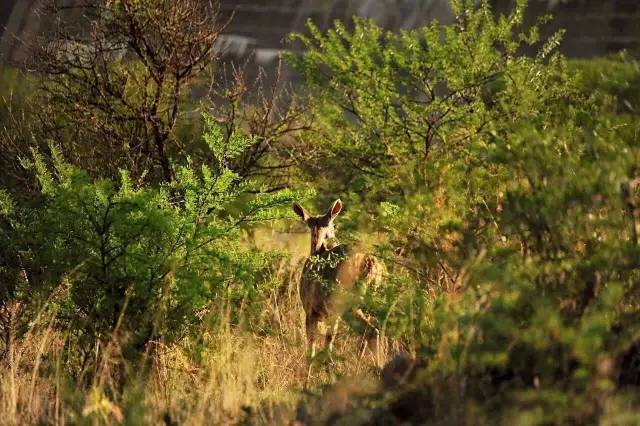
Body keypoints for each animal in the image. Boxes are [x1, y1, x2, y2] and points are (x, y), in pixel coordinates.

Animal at [292, 200, 382, 382]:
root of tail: (369, 262)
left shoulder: (311, 311)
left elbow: (311, 349)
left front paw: (307, 381)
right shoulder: (332, 316)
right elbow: (328, 344)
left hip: (347, 301)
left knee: (370, 330)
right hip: (368, 299)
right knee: (369, 332)